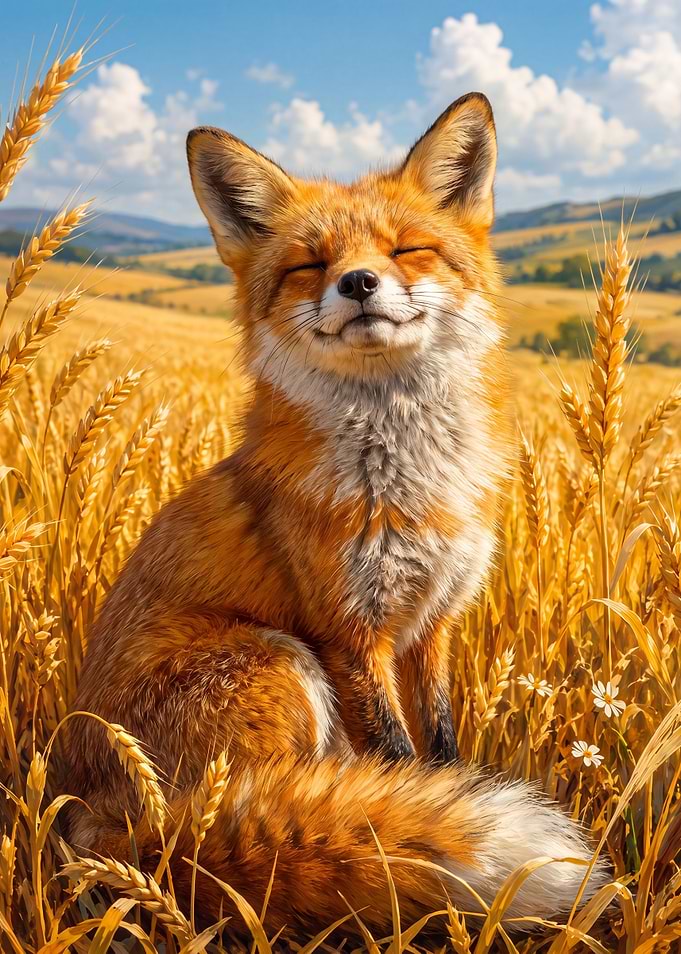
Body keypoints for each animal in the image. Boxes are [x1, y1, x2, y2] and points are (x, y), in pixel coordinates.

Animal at [65, 92, 605, 940]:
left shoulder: (430, 625)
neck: (410, 484)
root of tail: (111, 821)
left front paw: (444, 811)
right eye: (310, 265)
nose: (356, 282)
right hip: (279, 663)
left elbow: (439, 752)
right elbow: (398, 758)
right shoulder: (352, 633)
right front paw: (414, 843)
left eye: (407, 249)